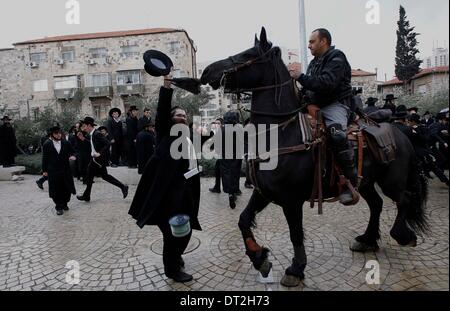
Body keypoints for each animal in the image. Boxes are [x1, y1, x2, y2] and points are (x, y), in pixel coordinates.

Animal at [200, 27, 428, 288]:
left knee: (404, 200)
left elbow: (296, 234)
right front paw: (260, 258)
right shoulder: (262, 192)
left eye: (247, 54)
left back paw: (402, 235)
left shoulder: (291, 200)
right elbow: (243, 220)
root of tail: (401, 133)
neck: (281, 133)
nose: (207, 71)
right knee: (377, 204)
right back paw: (367, 239)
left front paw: (296, 269)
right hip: (366, 182)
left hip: (392, 180)